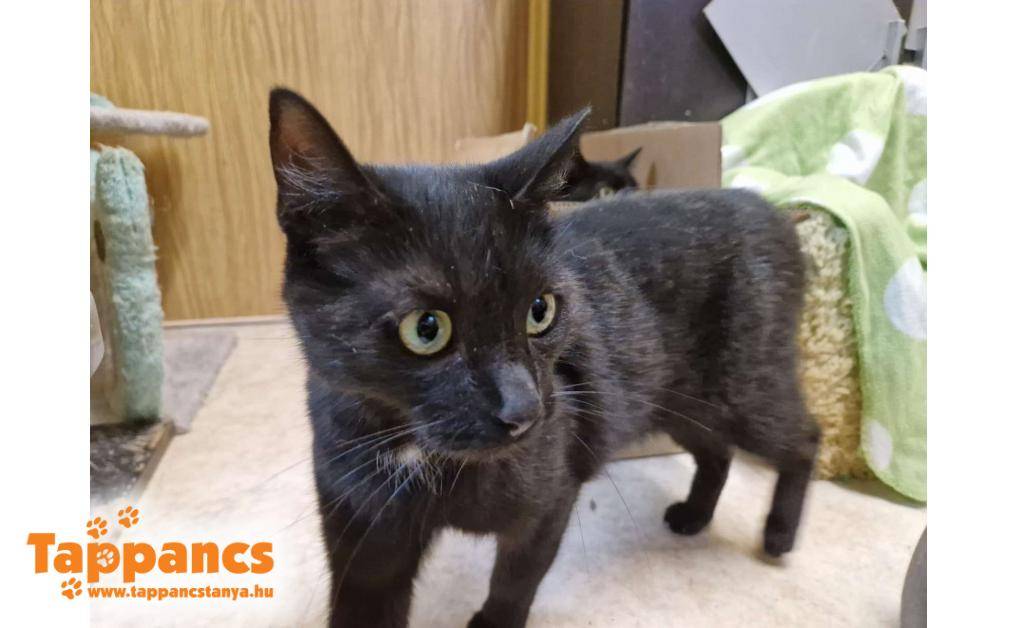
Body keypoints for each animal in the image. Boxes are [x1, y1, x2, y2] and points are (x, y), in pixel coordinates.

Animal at [268, 89, 819, 628]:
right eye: (425, 328)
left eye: (541, 311)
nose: (525, 410)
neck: (415, 452)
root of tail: (768, 208)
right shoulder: (364, 532)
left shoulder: (550, 502)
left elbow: (516, 580)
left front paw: (493, 624)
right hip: (683, 403)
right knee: (716, 450)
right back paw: (694, 516)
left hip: (743, 390)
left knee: (804, 438)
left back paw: (779, 536)